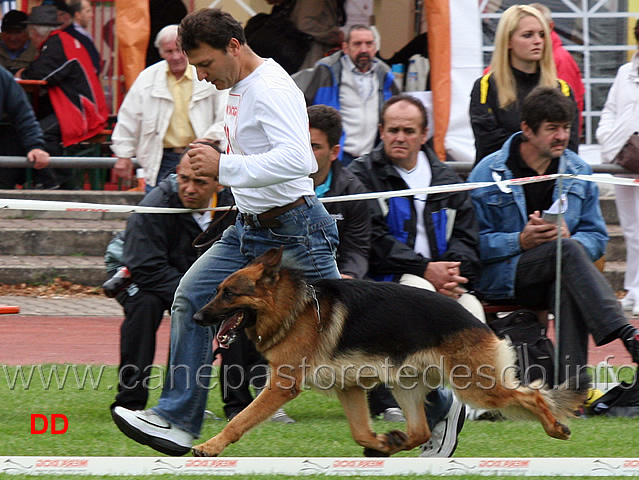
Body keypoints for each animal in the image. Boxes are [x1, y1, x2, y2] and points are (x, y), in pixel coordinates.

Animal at [191, 248, 592, 458]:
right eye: (219, 290)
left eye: (228, 293)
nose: (196, 317)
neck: (294, 308)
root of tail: (477, 319)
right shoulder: (349, 388)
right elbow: (359, 432)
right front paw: (378, 442)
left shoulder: (282, 386)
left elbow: (240, 420)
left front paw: (209, 447)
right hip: (407, 387)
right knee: (419, 429)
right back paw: (393, 444)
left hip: (479, 388)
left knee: (533, 396)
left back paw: (556, 427)